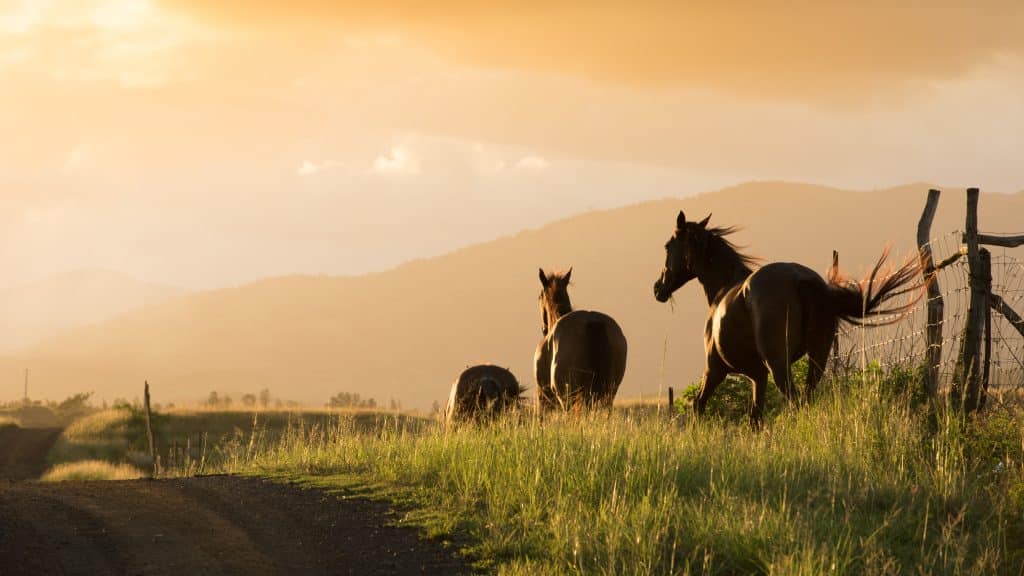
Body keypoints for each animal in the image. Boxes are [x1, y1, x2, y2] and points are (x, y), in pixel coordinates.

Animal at [535, 268, 628, 411]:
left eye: (540, 296)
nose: (543, 329)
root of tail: (593, 321)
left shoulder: (544, 397)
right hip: (608, 394)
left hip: (568, 398)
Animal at [653, 210, 922, 427]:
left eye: (667, 246)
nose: (658, 288)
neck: (723, 289)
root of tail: (799, 278)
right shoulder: (758, 377)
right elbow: (755, 418)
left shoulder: (715, 369)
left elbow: (698, 405)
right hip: (817, 358)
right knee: (806, 398)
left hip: (779, 366)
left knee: (795, 400)